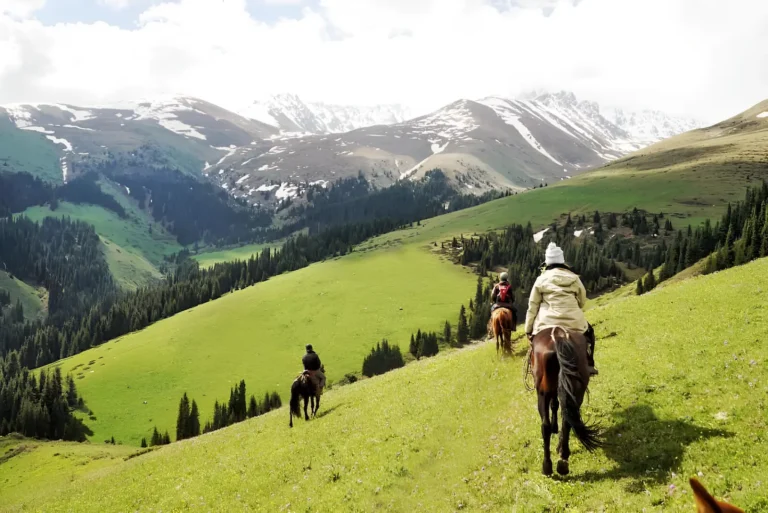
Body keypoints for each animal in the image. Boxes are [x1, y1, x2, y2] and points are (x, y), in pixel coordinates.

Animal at [532, 326, 604, 474]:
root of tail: (558, 337)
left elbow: (555, 405)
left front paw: (555, 428)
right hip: (574, 392)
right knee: (566, 420)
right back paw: (561, 459)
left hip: (543, 394)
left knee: (549, 424)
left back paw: (551, 464)